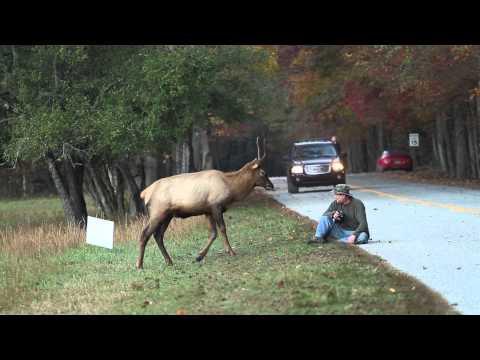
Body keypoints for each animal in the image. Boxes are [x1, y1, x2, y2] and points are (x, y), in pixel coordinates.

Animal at [137, 136, 276, 268]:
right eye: (263, 172)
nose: (271, 185)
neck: (231, 188)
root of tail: (144, 193)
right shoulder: (216, 205)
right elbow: (222, 229)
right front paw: (231, 251)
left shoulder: (207, 210)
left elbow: (213, 233)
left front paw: (199, 256)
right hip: (158, 211)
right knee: (145, 234)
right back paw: (139, 265)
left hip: (168, 215)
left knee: (158, 235)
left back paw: (169, 261)